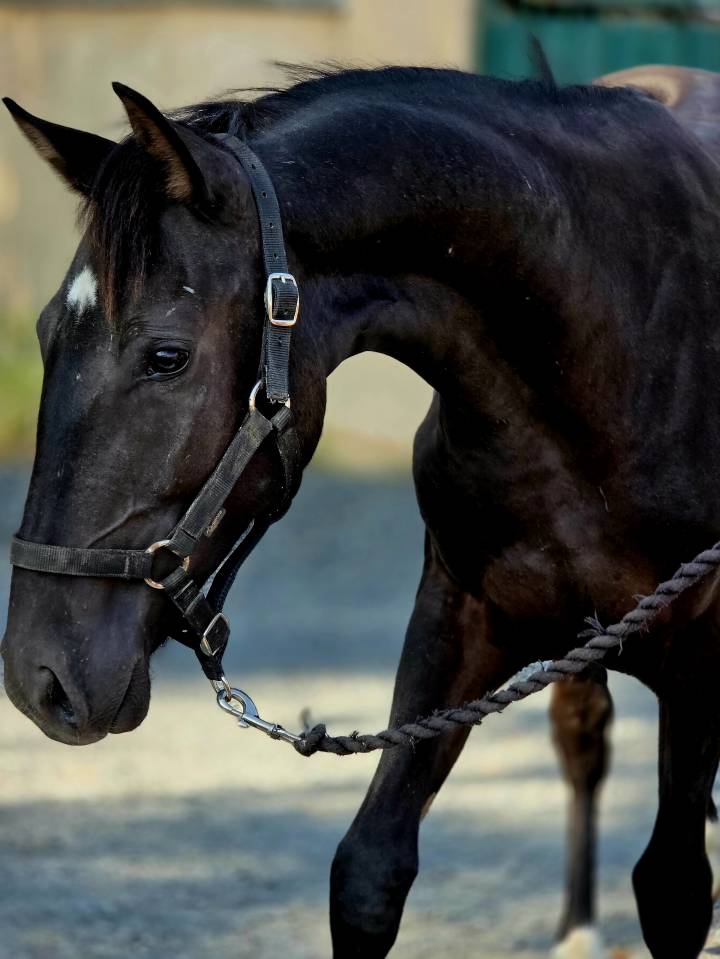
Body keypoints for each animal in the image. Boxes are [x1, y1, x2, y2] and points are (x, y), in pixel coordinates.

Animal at [4, 62, 720, 959]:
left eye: (166, 356)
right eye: (43, 333)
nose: (39, 679)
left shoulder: (699, 652)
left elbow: (674, 887)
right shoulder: (460, 615)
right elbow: (369, 871)